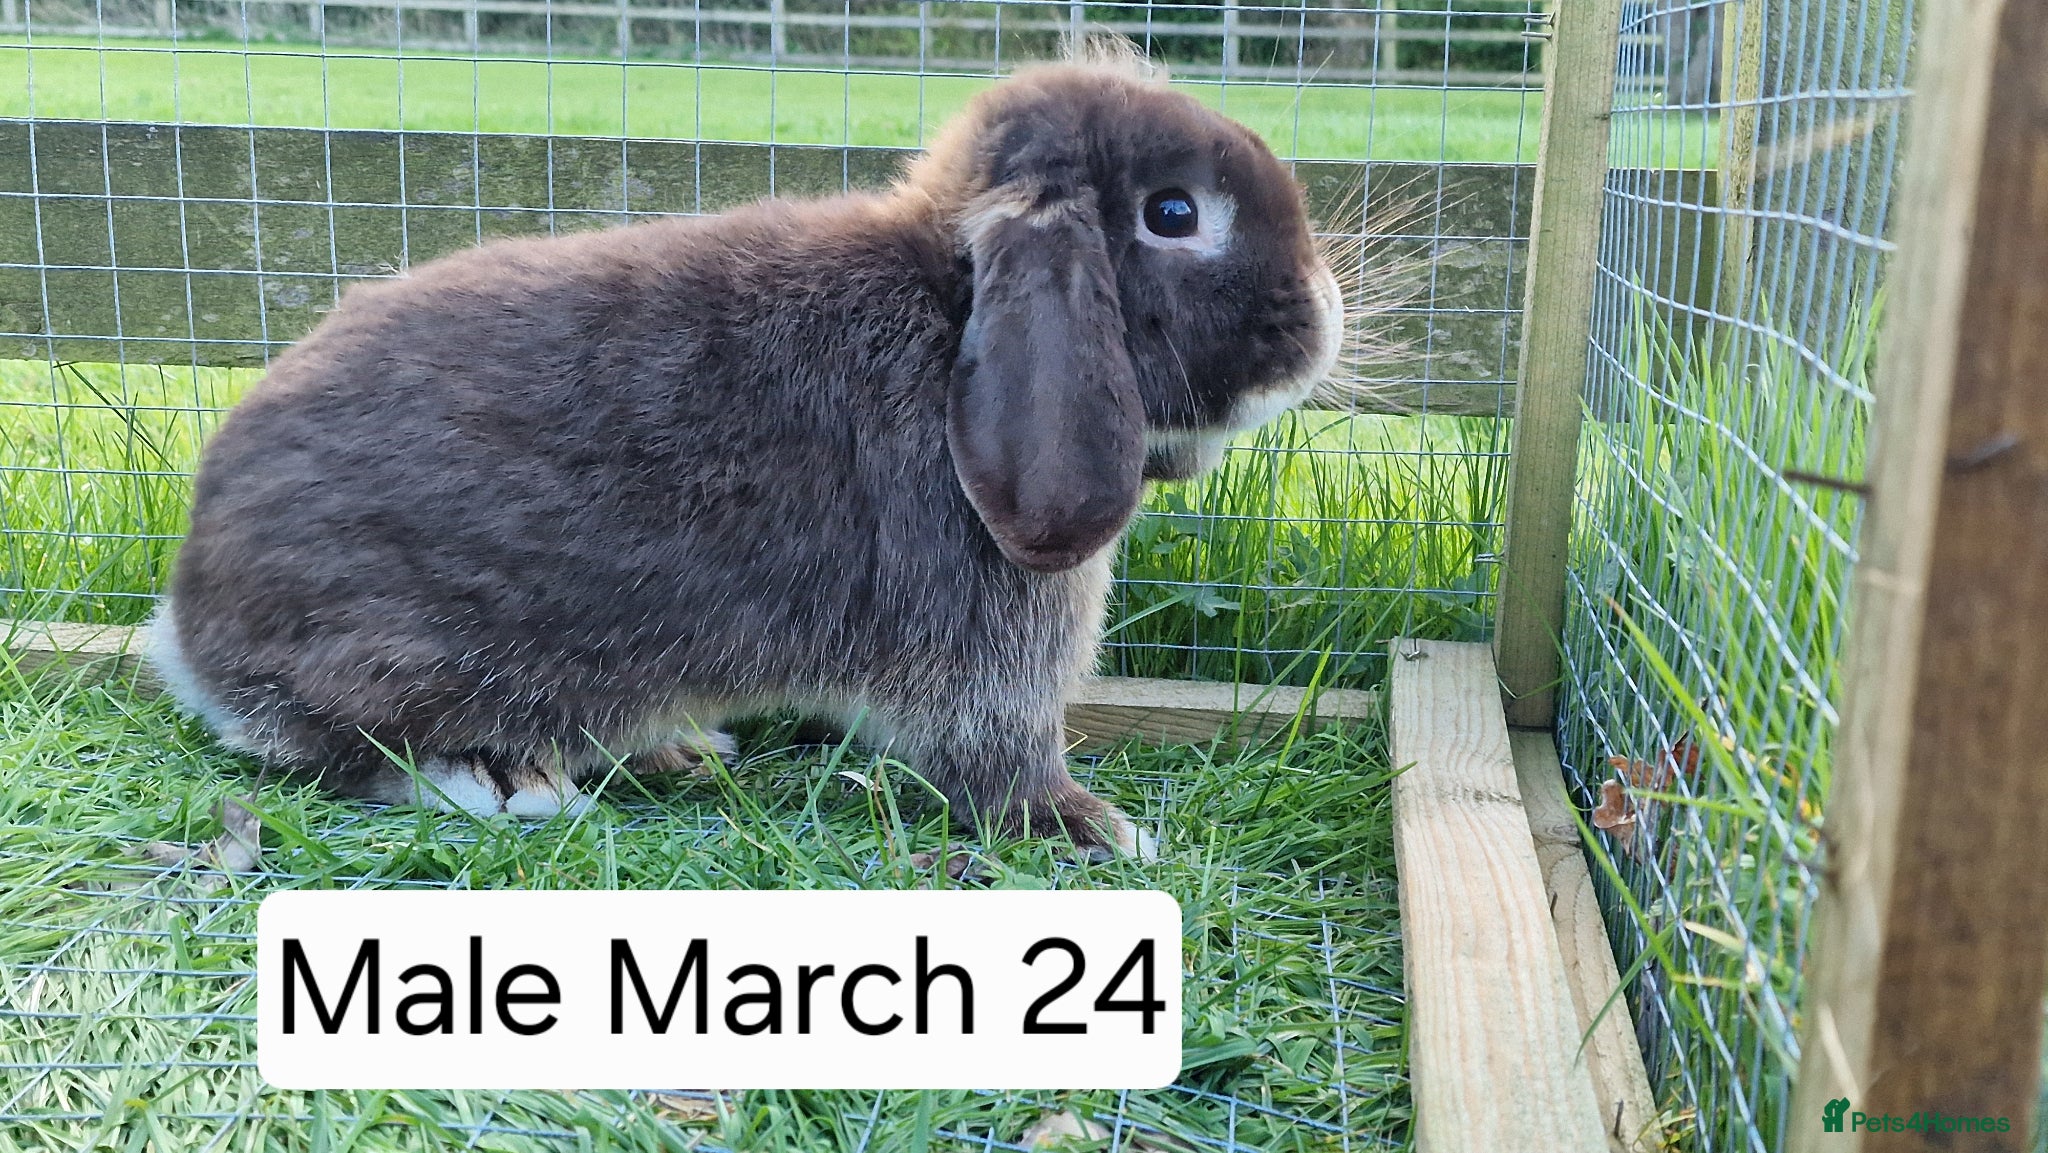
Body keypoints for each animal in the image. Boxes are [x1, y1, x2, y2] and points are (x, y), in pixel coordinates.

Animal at [148, 48, 1347, 856]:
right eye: (1174, 214)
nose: (1323, 316)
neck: (951, 308)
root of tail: (189, 629)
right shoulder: (983, 645)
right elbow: (996, 756)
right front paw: (1098, 829)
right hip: (405, 656)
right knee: (357, 750)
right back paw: (510, 779)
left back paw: (677, 750)